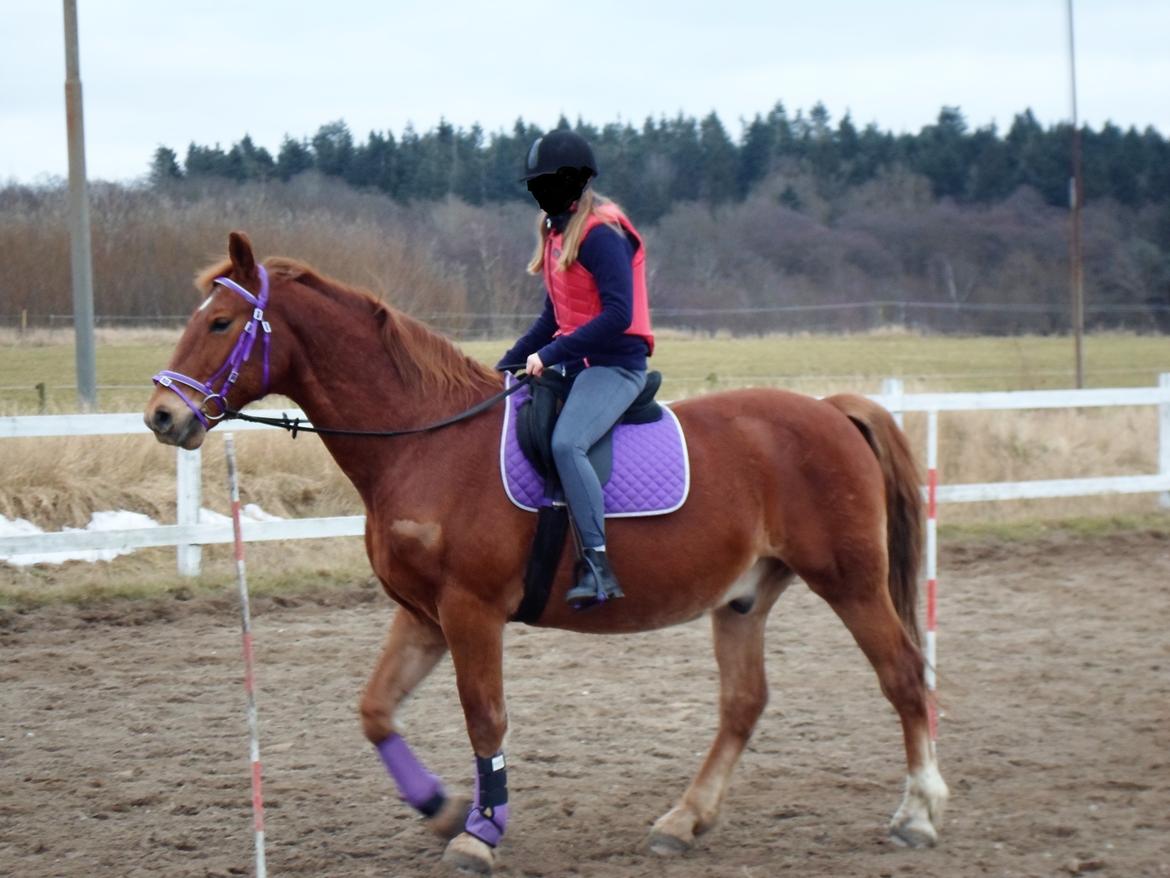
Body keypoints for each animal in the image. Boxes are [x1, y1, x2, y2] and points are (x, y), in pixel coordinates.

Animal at [146, 231, 950, 875]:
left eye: (220, 322)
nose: (162, 415)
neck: (426, 442)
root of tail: (832, 411)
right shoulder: (425, 615)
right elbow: (375, 710)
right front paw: (443, 807)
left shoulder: (469, 612)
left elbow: (485, 718)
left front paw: (480, 833)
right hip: (744, 597)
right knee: (744, 704)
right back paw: (683, 820)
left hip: (850, 582)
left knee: (904, 676)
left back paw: (917, 813)